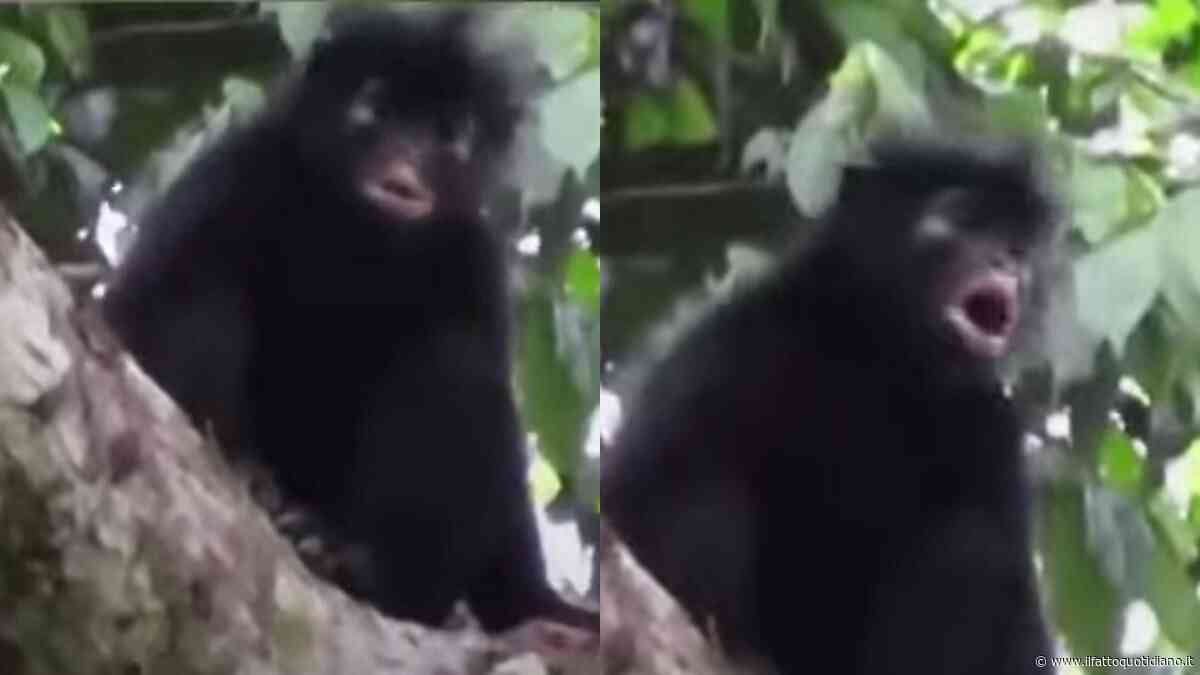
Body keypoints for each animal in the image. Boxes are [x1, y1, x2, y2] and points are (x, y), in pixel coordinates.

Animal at [102, 6, 596, 632]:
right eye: (375, 108)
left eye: (449, 134)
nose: (405, 169)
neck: (354, 242)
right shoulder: (230, 175)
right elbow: (142, 307)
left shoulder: (472, 258)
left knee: (453, 359)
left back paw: (363, 568)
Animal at [601, 136, 1060, 673]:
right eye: (961, 216)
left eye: (1018, 246)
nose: (1008, 262)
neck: (878, 360)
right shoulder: (738, 335)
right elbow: (635, 488)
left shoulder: (990, 425)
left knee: (971, 546)